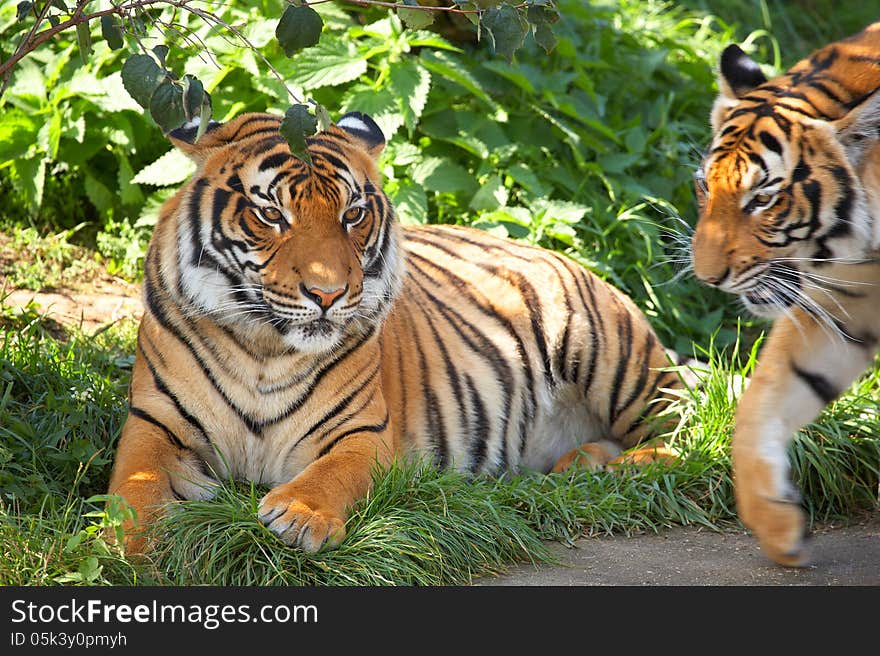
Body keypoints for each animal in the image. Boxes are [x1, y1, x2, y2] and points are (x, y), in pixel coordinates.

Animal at [106, 109, 688, 552]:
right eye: (271, 214)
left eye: (353, 214)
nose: (327, 295)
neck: (263, 350)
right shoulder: (154, 422)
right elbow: (135, 486)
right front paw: (125, 544)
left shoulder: (363, 432)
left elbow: (334, 474)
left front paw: (298, 515)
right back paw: (578, 466)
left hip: (611, 356)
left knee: (680, 433)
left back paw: (621, 469)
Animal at [692, 23, 880, 568]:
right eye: (703, 186)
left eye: (763, 198)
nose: (708, 278)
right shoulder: (843, 304)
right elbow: (761, 401)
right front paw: (778, 524)